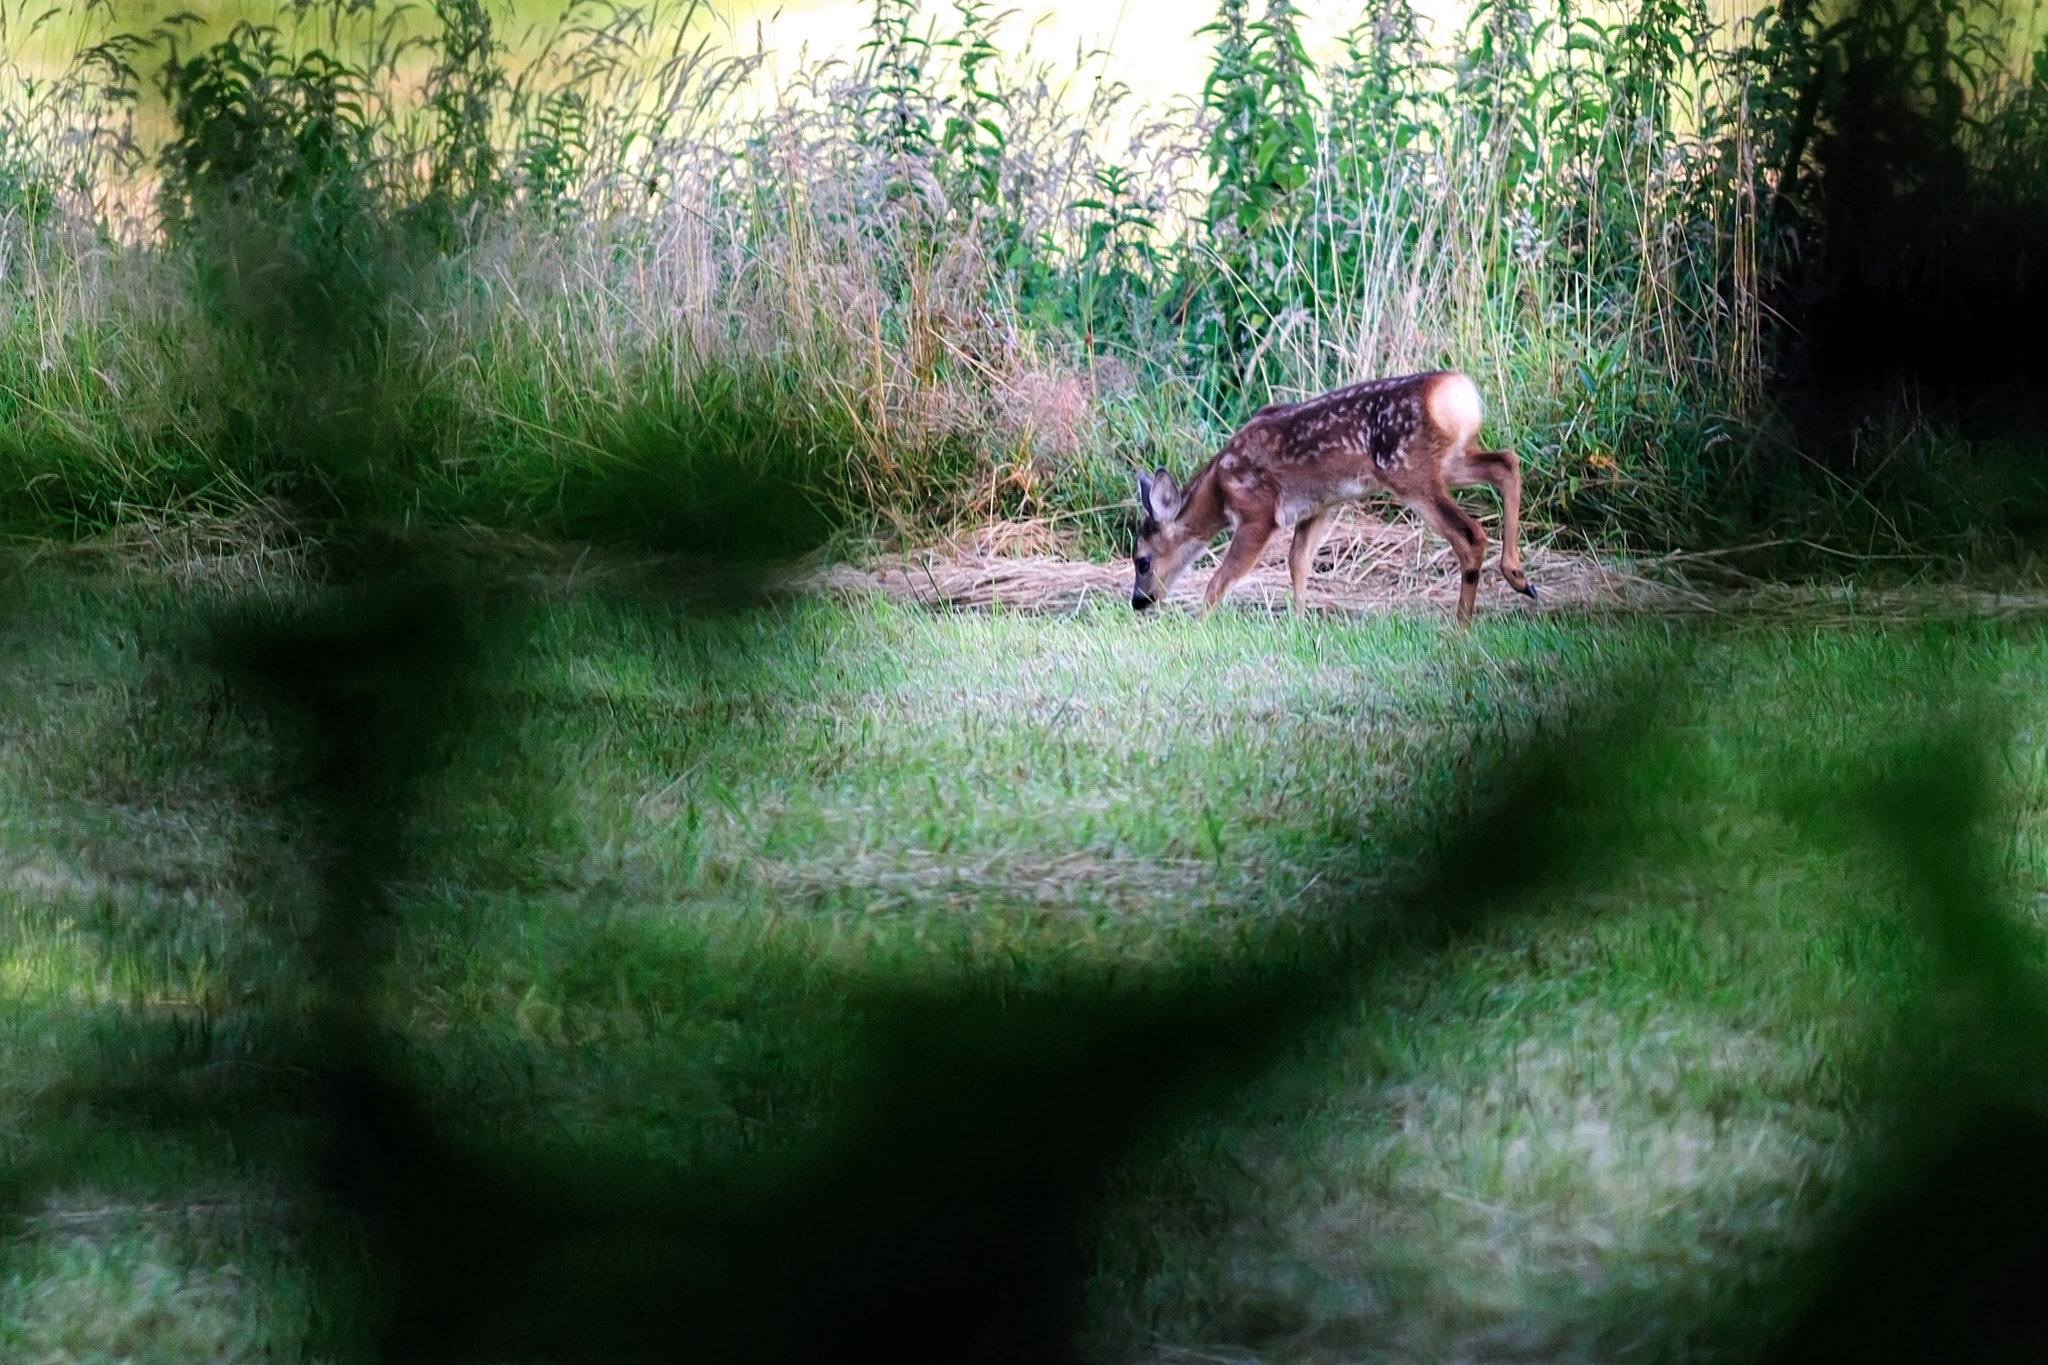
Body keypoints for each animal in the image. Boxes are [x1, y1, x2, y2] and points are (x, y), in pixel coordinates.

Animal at [1138, 368, 1540, 626]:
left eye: (1142, 561)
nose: (1139, 601)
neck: (1219, 487)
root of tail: (1456, 392)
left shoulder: (1259, 513)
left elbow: (1220, 580)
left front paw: (1197, 627)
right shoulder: (1320, 505)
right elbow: (1297, 561)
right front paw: (1299, 624)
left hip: (1411, 472)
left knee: (1470, 534)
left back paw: (1461, 626)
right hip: (1449, 462)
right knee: (1506, 461)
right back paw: (1519, 577)